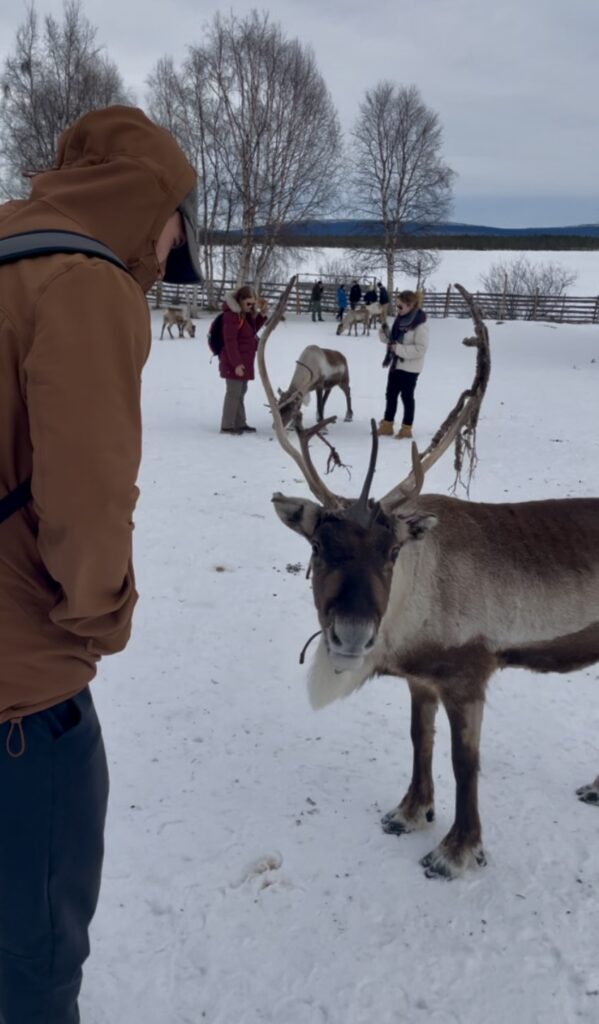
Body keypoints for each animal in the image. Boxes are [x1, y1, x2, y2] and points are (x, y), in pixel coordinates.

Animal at [257, 277, 599, 880]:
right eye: (318, 546)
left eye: (393, 550)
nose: (351, 635)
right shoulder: (422, 679)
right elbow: (420, 740)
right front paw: (410, 811)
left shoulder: (469, 674)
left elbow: (466, 761)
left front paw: (458, 850)